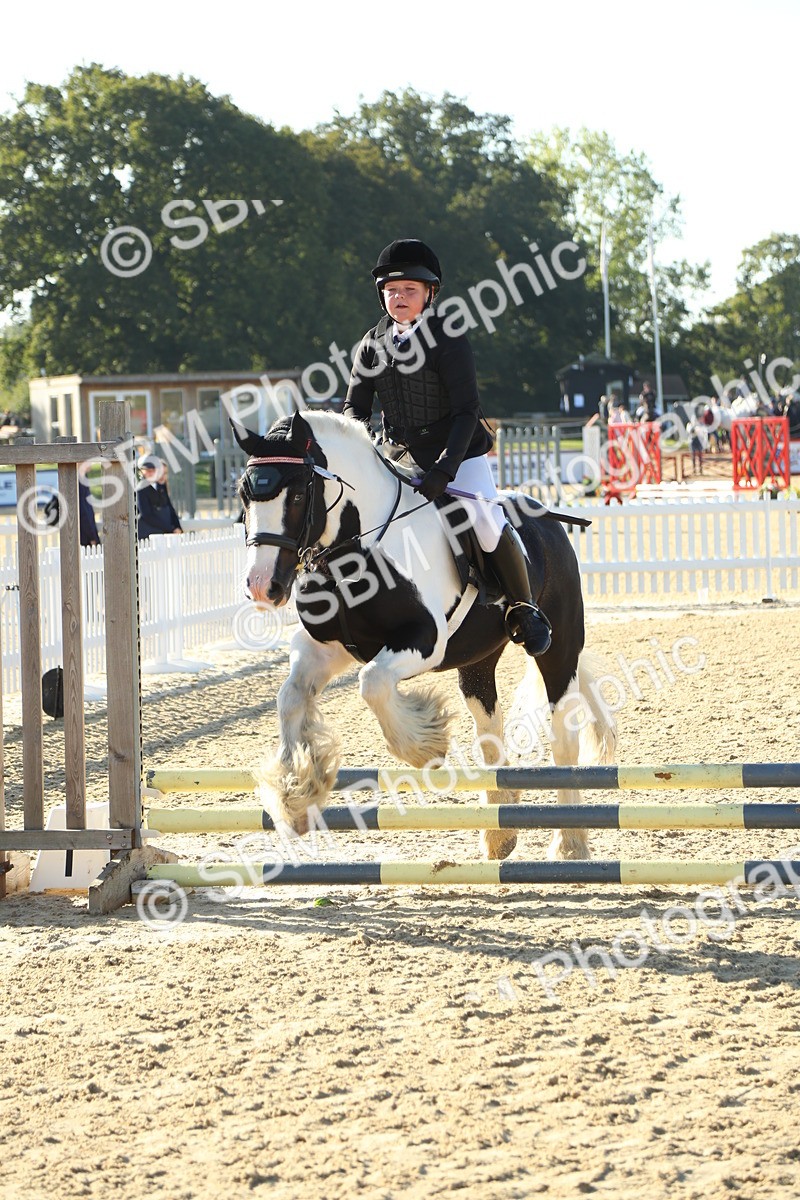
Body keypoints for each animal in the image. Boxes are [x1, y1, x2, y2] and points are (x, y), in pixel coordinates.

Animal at [234, 410, 616, 861]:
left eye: (295, 496)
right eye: (244, 496)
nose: (262, 586)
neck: (357, 548)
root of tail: (546, 518)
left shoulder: (423, 640)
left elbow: (372, 683)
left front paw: (424, 746)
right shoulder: (325, 649)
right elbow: (291, 697)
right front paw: (297, 795)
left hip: (558, 649)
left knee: (563, 737)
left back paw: (569, 843)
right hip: (477, 662)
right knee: (490, 732)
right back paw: (500, 833)